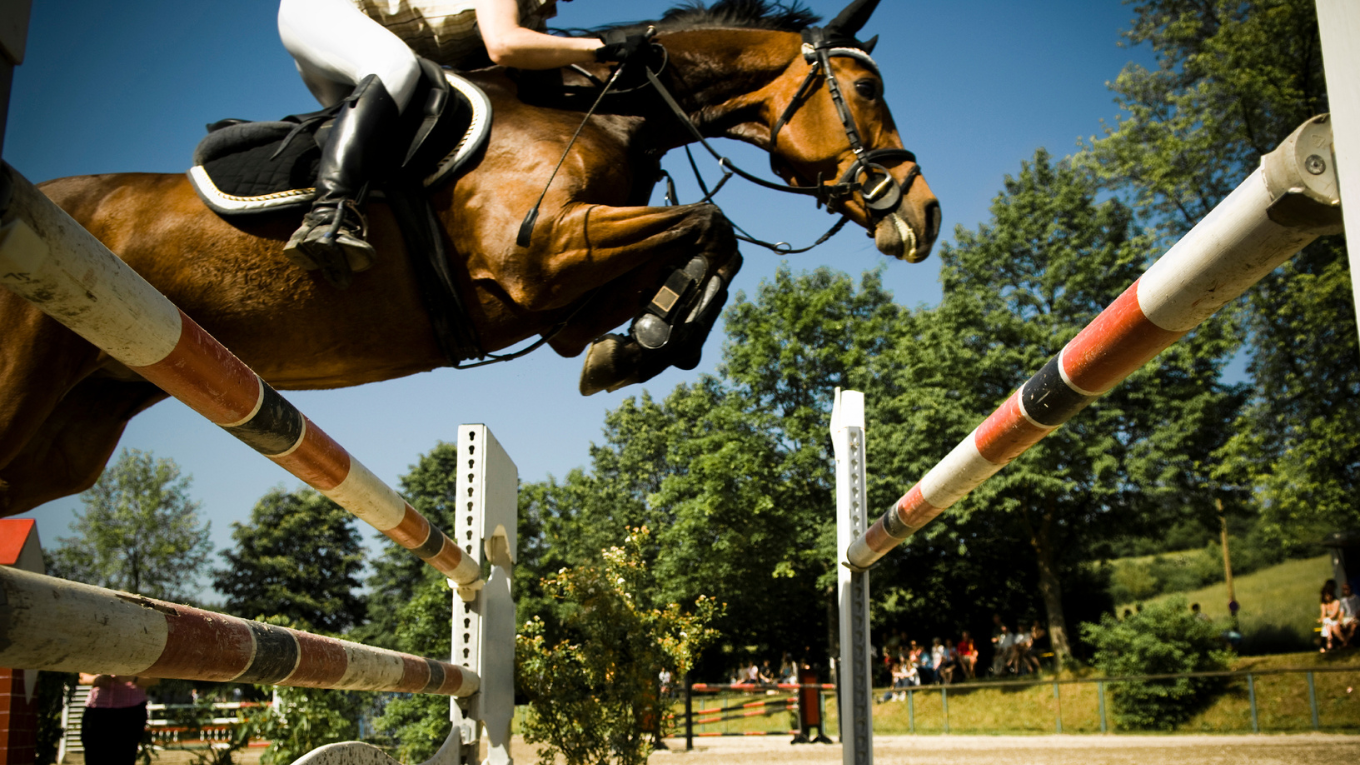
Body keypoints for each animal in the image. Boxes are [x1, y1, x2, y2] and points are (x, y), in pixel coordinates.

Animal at [0, 0, 940, 518]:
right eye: (865, 90)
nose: (924, 216)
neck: (609, 109)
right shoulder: (541, 253)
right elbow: (713, 225)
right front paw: (644, 345)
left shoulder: (563, 295)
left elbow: (707, 248)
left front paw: (637, 346)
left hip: (74, 432)